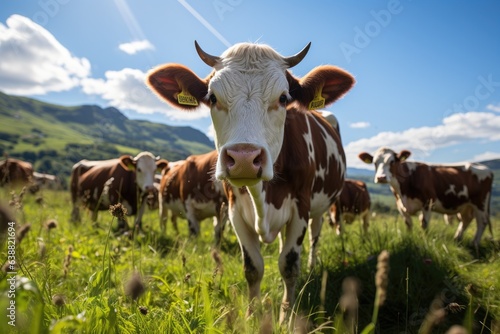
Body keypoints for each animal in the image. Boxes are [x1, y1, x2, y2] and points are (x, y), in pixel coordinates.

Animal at [146, 40, 354, 322]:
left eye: (283, 98)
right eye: (212, 98)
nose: (244, 158)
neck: (263, 196)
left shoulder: (300, 207)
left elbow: (289, 265)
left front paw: (286, 317)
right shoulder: (234, 211)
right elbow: (253, 267)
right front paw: (252, 316)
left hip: (320, 209)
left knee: (314, 237)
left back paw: (311, 267)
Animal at [360, 146, 492, 250]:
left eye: (392, 161)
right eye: (375, 163)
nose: (381, 177)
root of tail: (486, 168)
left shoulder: (428, 202)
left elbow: (424, 224)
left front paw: (424, 241)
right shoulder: (401, 206)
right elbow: (408, 224)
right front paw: (409, 239)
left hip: (480, 202)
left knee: (482, 222)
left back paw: (474, 243)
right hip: (466, 205)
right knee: (466, 220)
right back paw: (457, 239)